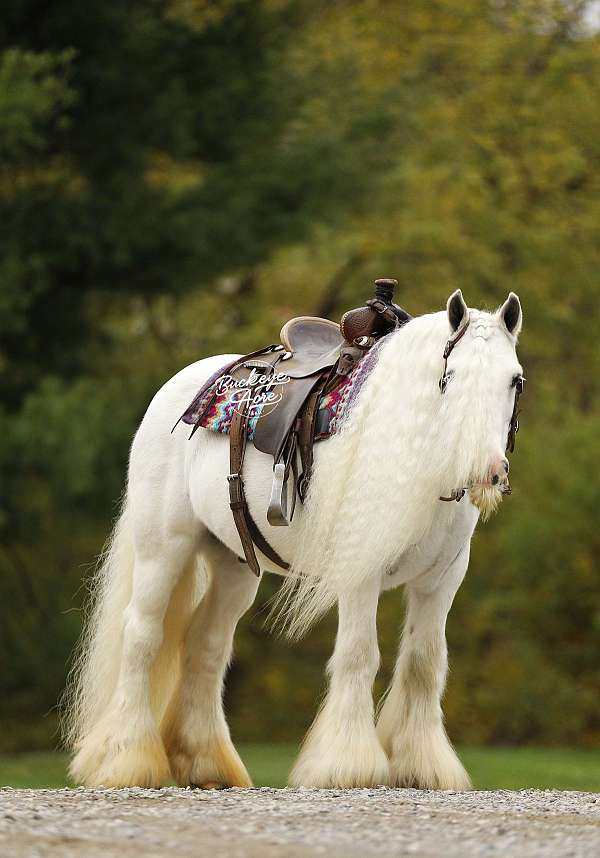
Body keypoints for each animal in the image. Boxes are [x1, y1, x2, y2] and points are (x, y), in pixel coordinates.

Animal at [63, 289, 524, 790]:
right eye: (449, 377)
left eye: (514, 381)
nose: (487, 472)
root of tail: (176, 389)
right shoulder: (359, 575)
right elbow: (359, 655)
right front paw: (348, 764)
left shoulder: (440, 581)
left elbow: (424, 663)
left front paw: (420, 766)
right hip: (163, 549)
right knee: (142, 637)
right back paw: (126, 759)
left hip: (234, 565)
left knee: (206, 645)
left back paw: (204, 763)